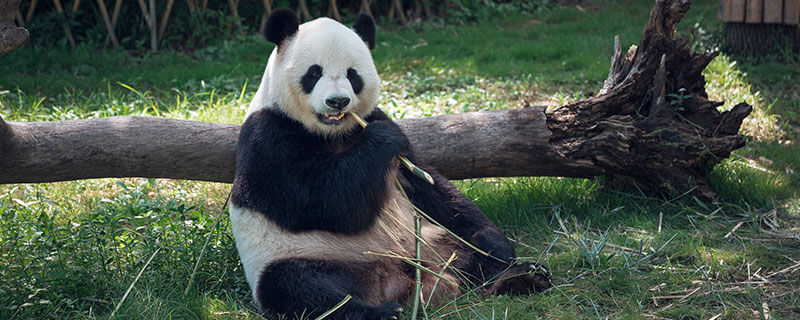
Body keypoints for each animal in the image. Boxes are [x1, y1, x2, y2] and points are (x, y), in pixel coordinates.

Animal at [233, 8, 552, 320]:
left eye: (352, 75)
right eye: (314, 72)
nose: (338, 101)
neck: (332, 133)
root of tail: (396, 280)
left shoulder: (380, 125)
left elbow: (430, 186)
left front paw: (495, 243)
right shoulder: (269, 138)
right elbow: (324, 201)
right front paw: (381, 139)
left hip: (431, 241)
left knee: (469, 258)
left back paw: (519, 276)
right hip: (301, 255)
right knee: (300, 288)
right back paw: (381, 313)